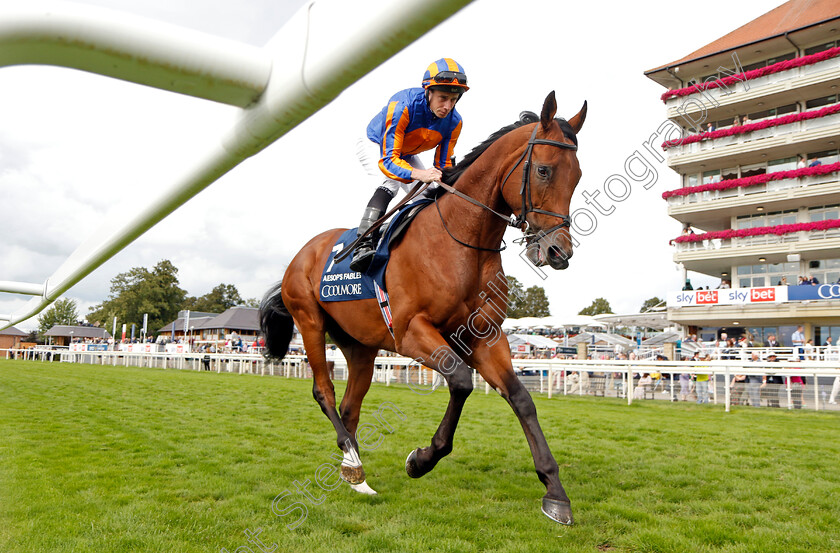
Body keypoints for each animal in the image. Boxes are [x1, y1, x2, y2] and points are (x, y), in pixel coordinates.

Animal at [260, 92, 584, 524]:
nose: (558, 252)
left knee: (350, 405)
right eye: (545, 170)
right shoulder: (412, 332)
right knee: (324, 391)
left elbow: (521, 399)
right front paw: (421, 459)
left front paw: (555, 493)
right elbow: (461, 382)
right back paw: (354, 461)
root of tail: (301, 254)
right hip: (309, 321)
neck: (461, 240)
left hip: (360, 346)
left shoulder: (486, 336)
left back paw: (352, 472)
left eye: (578, 175)